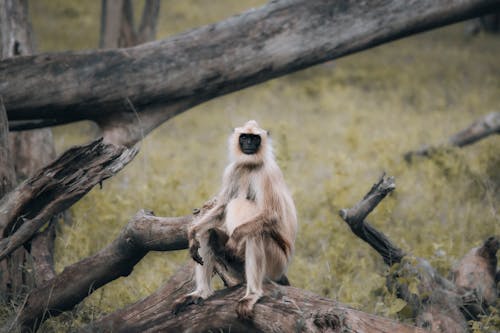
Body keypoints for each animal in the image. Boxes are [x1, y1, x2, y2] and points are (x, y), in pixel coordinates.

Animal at [172, 120, 296, 320]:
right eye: (244, 137)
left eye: (254, 138)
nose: (249, 144)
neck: (250, 166)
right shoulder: (232, 170)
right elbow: (221, 208)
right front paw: (192, 233)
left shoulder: (268, 173)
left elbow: (272, 215)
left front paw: (235, 238)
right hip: (237, 268)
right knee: (207, 233)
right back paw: (202, 292)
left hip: (277, 264)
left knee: (255, 234)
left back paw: (252, 294)